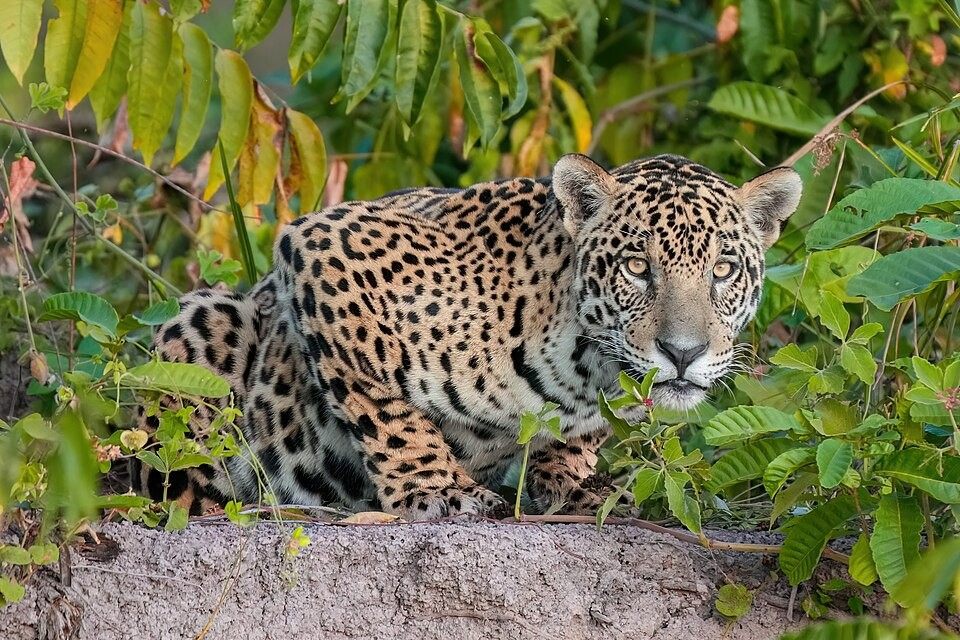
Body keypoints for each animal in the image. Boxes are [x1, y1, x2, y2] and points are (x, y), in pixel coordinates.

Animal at [133, 153, 802, 521]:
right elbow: (384, 408)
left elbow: (577, 443)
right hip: (202, 320)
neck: (584, 365)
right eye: (638, 267)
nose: (684, 354)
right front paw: (439, 490)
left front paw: (571, 480)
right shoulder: (325, 245)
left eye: (724, 270)